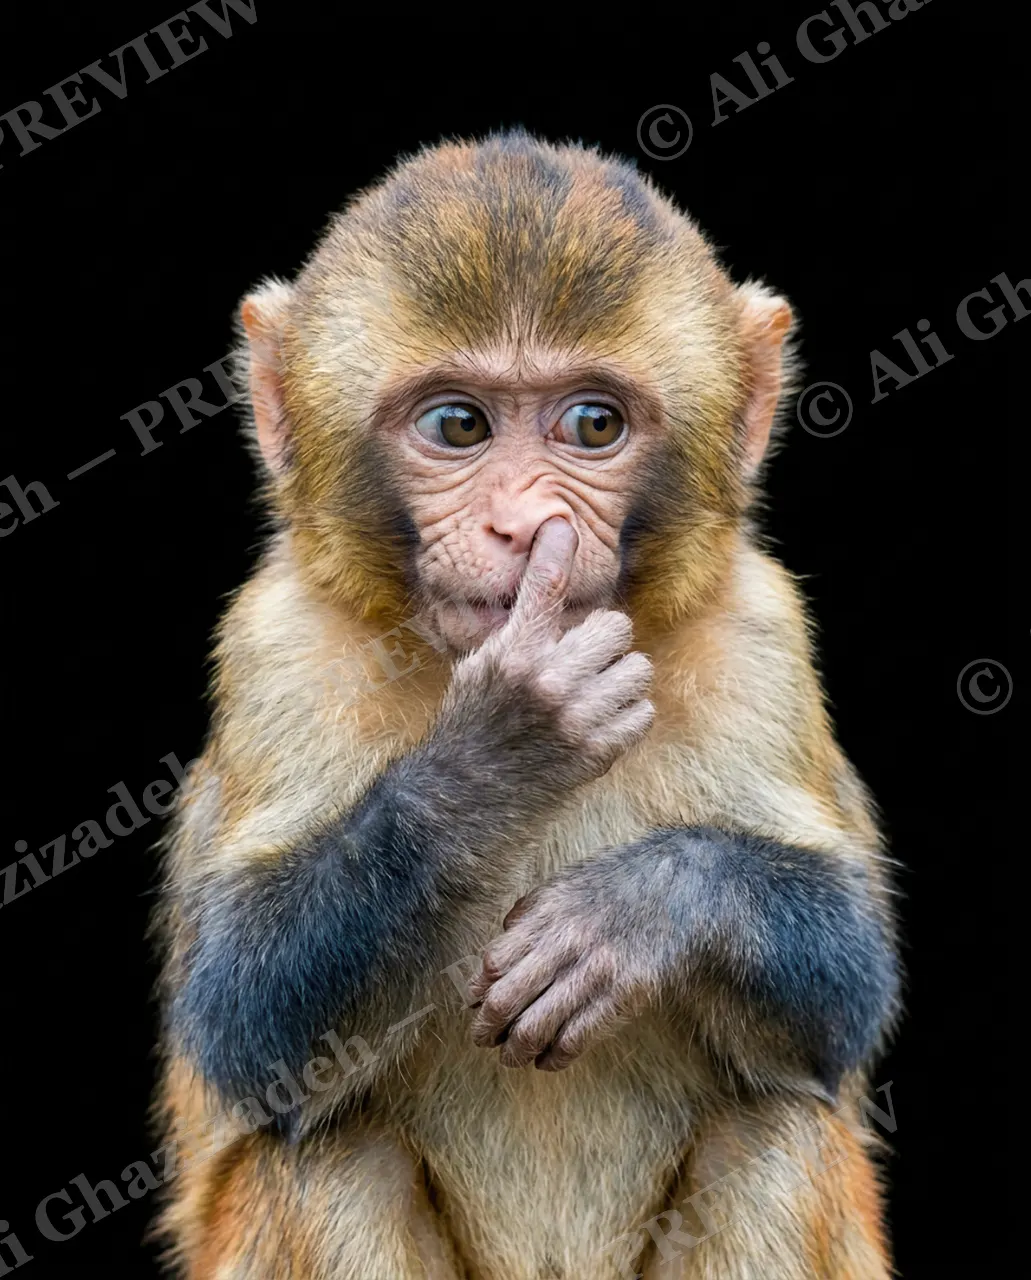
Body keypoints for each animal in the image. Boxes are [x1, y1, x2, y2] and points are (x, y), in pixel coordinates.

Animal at [151, 131, 900, 1279]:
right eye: (458, 424)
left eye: (591, 424)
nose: (521, 524)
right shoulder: (278, 640)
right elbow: (245, 1015)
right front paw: (499, 748)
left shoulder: (762, 631)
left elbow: (840, 998)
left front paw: (643, 910)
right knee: (331, 1158)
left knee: (772, 1136)